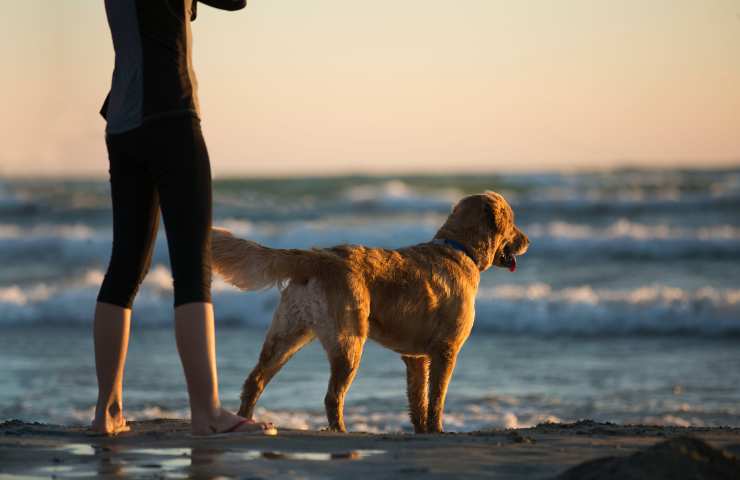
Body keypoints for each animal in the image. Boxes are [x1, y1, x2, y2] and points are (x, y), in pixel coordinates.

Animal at [211, 192, 528, 436]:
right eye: (513, 222)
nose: (527, 241)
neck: (459, 249)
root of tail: (318, 256)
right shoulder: (446, 350)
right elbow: (437, 397)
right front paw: (437, 430)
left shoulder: (415, 358)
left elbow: (418, 399)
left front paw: (421, 430)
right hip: (349, 342)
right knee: (332, 396)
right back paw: (340, 431)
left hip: (287, 335)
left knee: (254, 381)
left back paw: (246, 420)